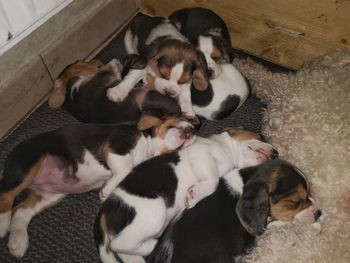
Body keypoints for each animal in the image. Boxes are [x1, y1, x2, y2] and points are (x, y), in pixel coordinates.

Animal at [0, 116, 197, 258]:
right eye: (180, 118)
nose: (193, 130)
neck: (147, 143)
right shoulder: (118, 146)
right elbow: (126, 167)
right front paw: (107, 190)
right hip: (30, 163)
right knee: (6, 196)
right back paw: (3, 224)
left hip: (49, 196)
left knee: (21, 211)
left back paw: (18, 241)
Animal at [148, 160, 322, 262]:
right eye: (295, 201)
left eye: (310, 192)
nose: (319, 213)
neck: (247, 181)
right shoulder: (258, 233)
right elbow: (284, 223)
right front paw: (316, 225)